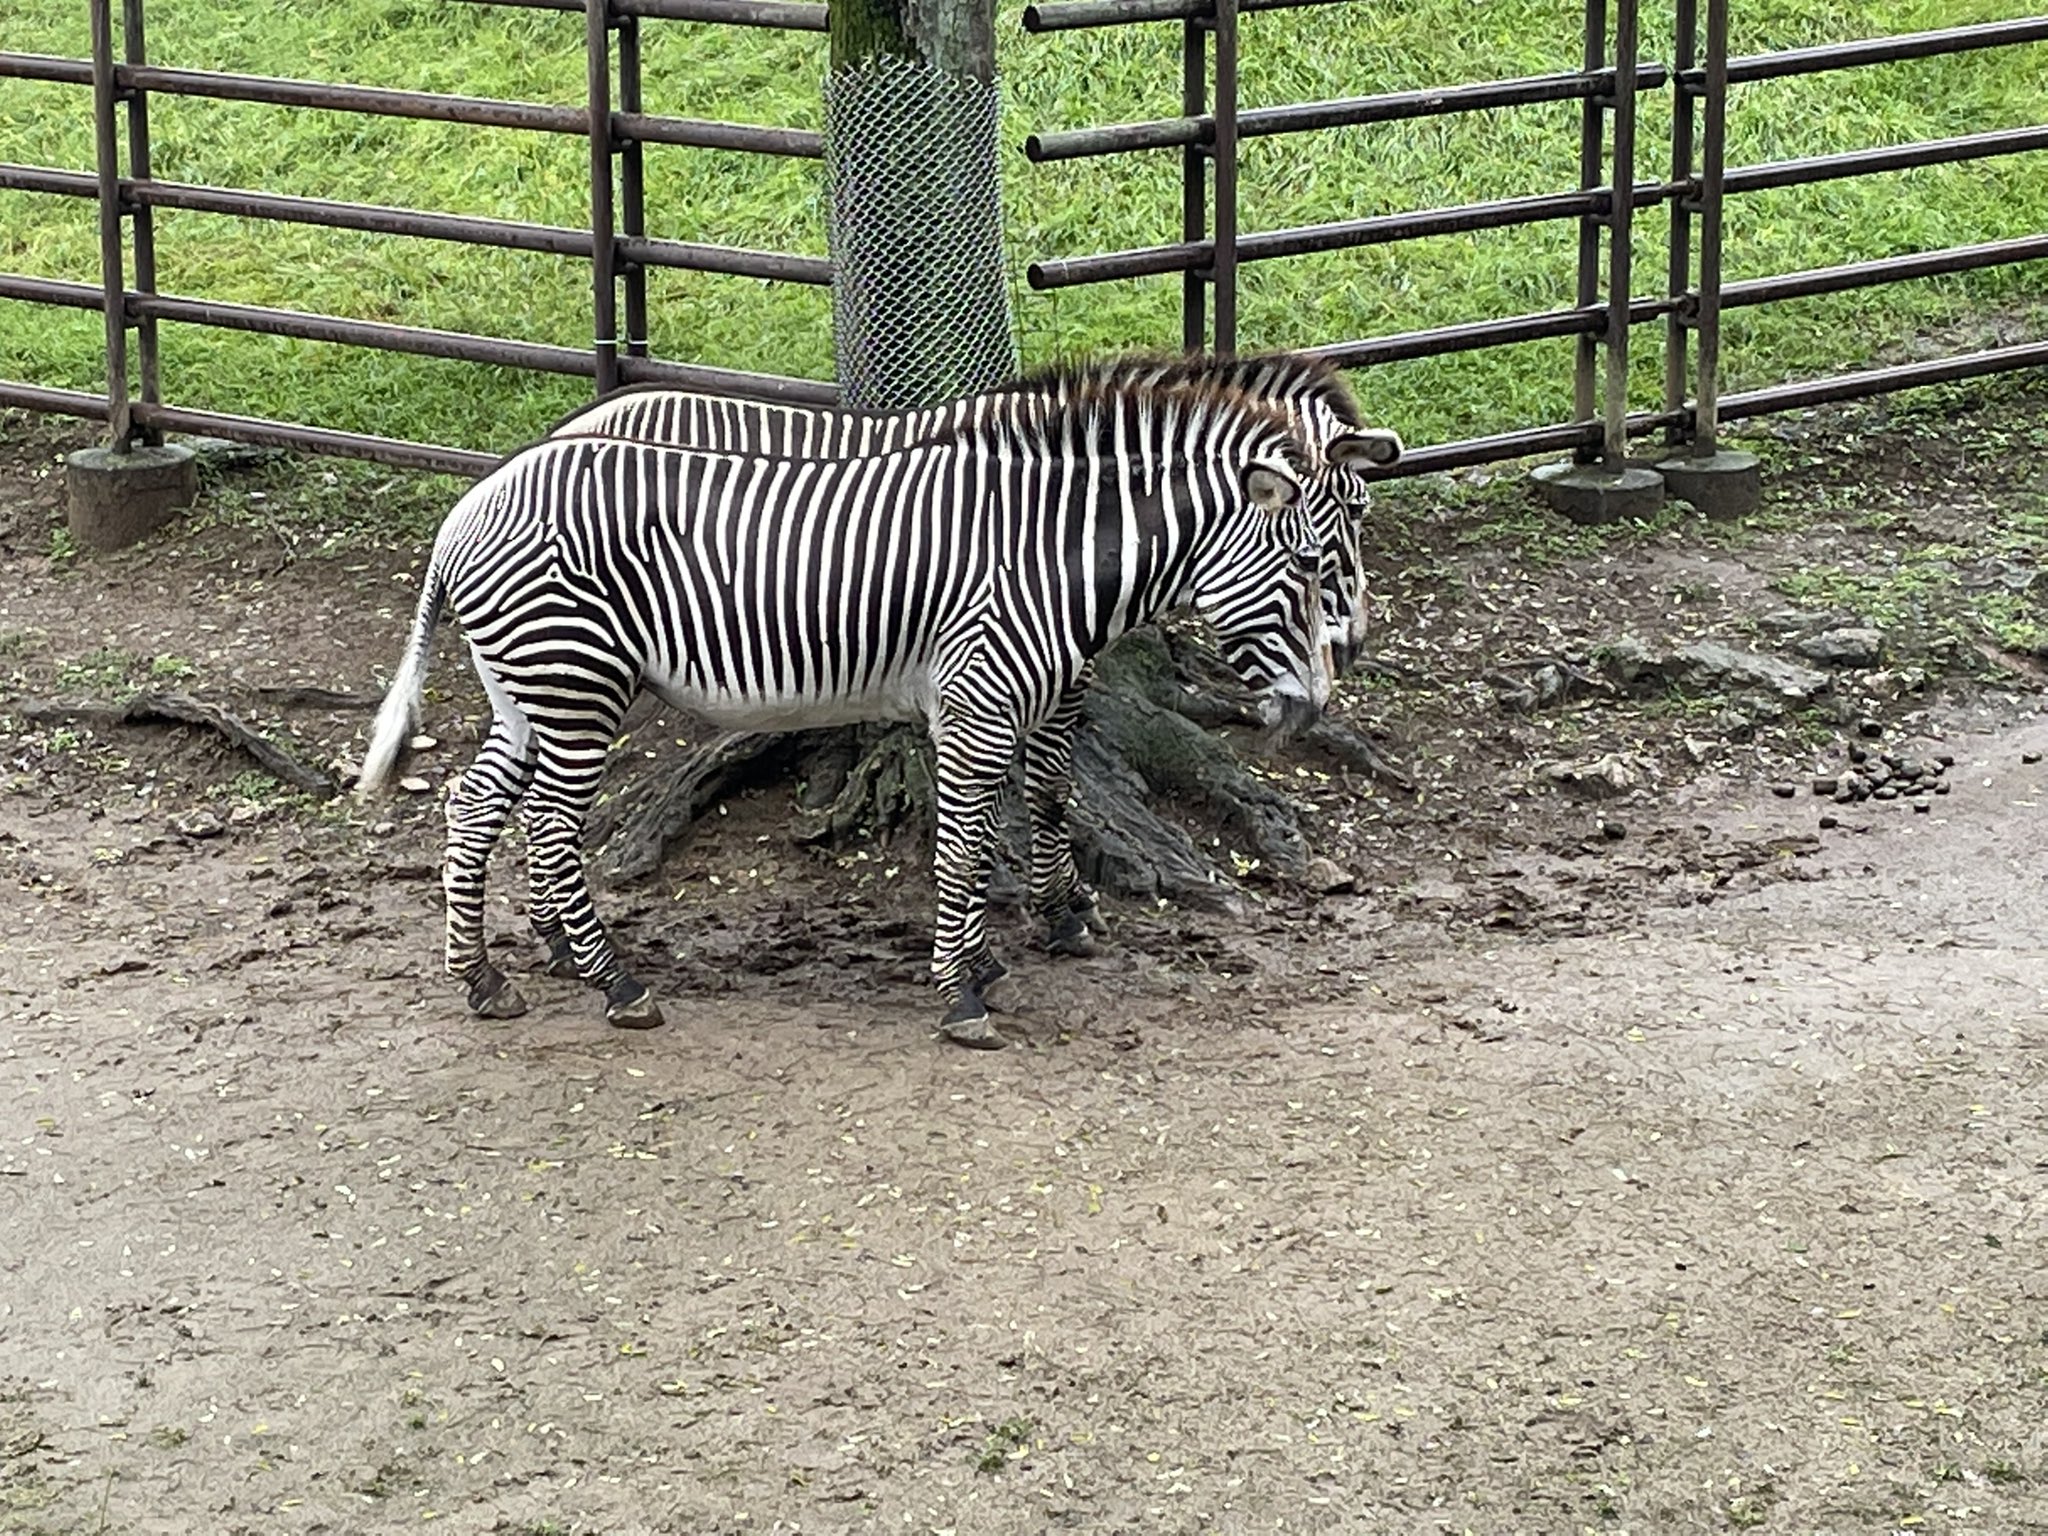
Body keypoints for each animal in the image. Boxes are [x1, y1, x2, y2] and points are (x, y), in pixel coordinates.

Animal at [360, 370, 1384, 1040]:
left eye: (1346, 541)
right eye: (1310, 563)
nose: (1318, 700)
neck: (1050, 551)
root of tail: (470, 505)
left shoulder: (1017, 697)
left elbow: (1014, 814)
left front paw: (999, 952)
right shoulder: (983, 697)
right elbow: (977, 832)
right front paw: (969, 988)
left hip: (528, 687)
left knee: (476, 805)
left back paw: (489, 976)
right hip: (574, 680)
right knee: (548, 824)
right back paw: (614, 985)